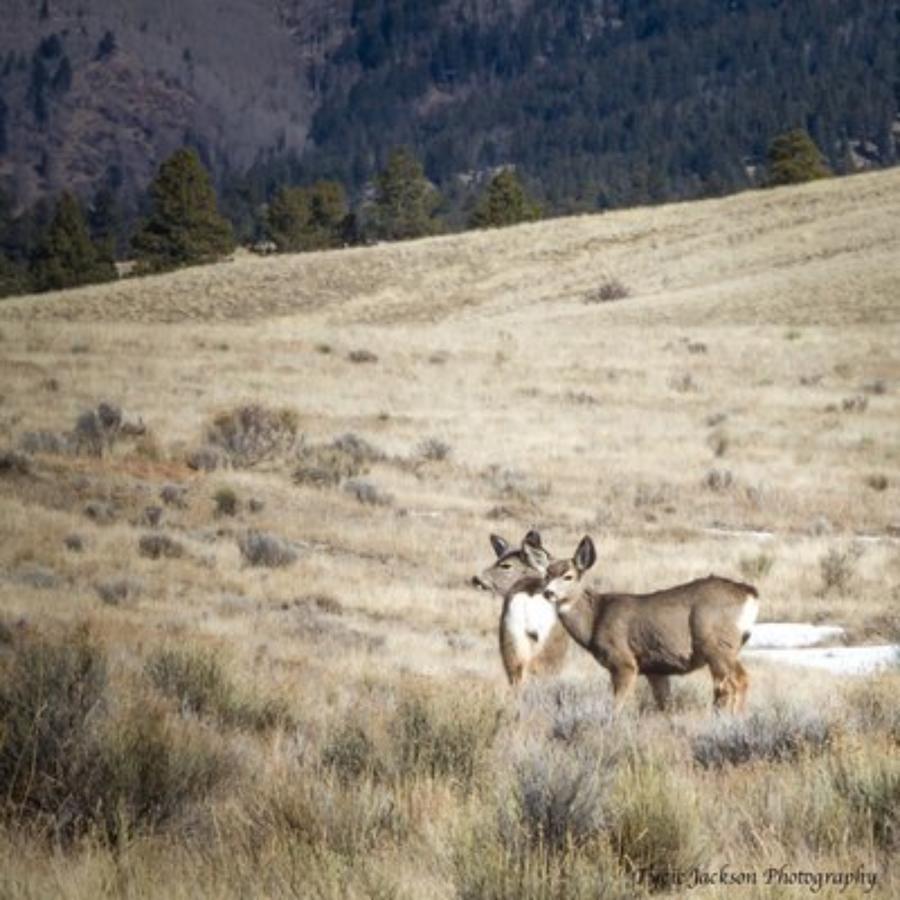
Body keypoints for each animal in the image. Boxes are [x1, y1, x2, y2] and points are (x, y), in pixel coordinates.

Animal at [536, 536, 756, 716]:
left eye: (568, 576)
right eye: (546, 575)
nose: (548, 593)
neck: (595, 619)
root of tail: (749, 594)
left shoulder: (624, 661)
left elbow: (617, 706)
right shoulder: (655, 669)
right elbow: (666, 706)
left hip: (717, 645)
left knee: (736, 682)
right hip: (727, 648)